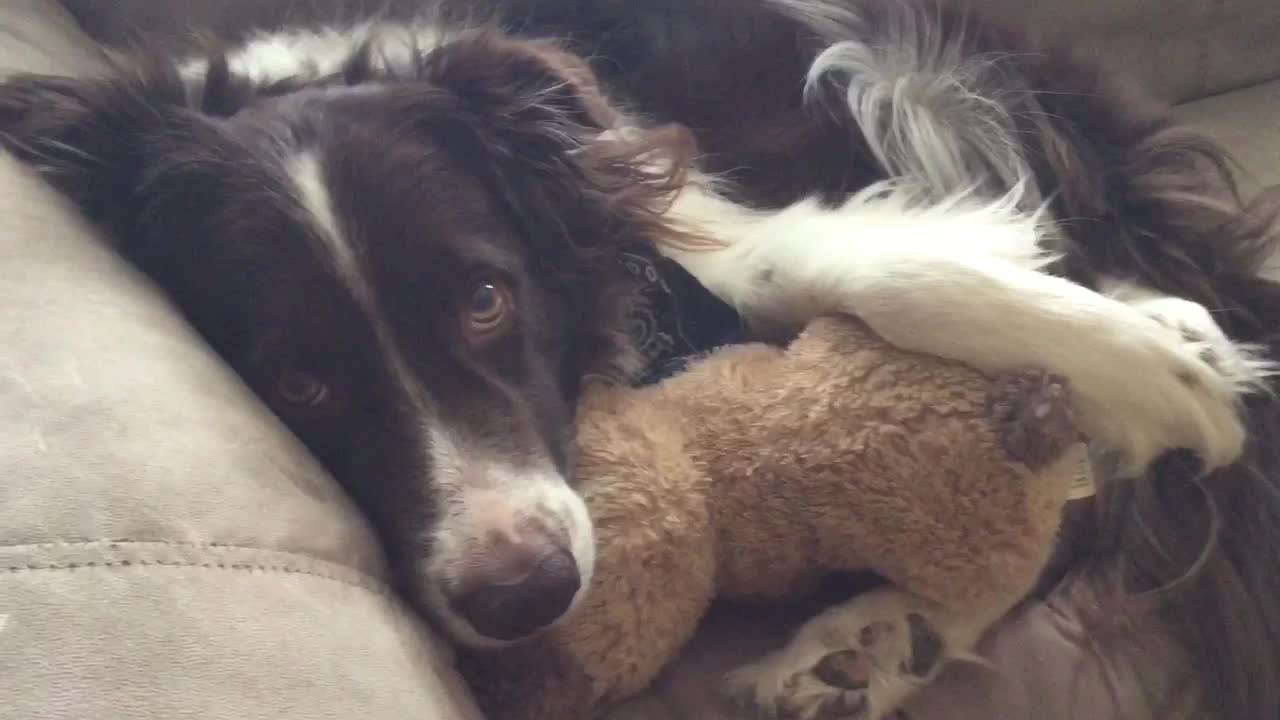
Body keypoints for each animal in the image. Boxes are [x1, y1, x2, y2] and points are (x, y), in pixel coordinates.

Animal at [2, 0, 1280, 712]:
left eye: (485, 299)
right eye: (295, 382)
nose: (523, 595)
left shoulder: (651, 186)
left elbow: (824, 264)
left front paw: (1156, 369)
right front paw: (1151, 364)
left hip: (909, 74)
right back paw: (871, 642)